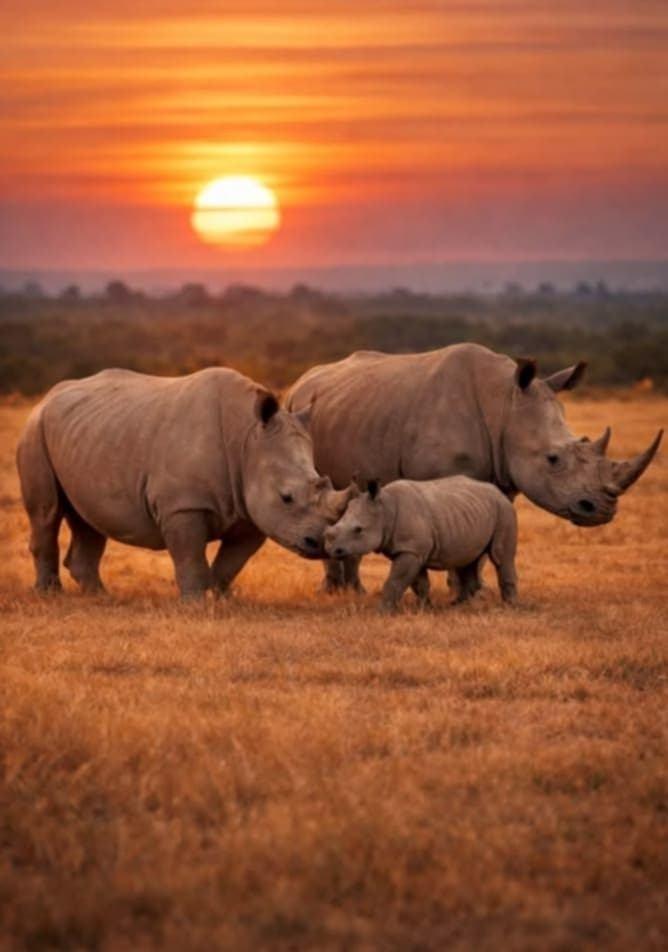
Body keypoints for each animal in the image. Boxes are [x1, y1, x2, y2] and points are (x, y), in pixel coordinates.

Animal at [17, 367, 349, 598]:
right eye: (286, 497)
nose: (321, 542)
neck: (247, 443)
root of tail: (48, 396)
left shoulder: (252, 513)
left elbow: (231, 562)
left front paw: (223, 598)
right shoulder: (183, 506)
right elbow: (189, 557)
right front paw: (195, 603)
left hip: (87, 434)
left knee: (88, 520)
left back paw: (100, 597)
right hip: (35, 429)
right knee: (46, 513)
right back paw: (50, 595)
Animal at [286, 343, 663, 592]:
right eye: (553, 459)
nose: (602, 509)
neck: (505, 405)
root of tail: (300, 382)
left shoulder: (502, 479)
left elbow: (482, 531)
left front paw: (476, 592)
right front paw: (458, 591)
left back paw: (354, 591)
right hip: (303, 412)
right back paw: (338, 593)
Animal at [324, 476, 518, 613]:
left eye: (358, 530)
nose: (333, 550)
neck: (385, 509)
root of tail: (497, 491)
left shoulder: (411, 550)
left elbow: (396, 580)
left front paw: (382, 612)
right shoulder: (412, 550)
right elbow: (419, 584)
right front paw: (425, 608)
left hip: (504, 509)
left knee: (501, 557)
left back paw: (509, 607)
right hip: (471, 512)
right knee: (468, 560)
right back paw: (458, 605)